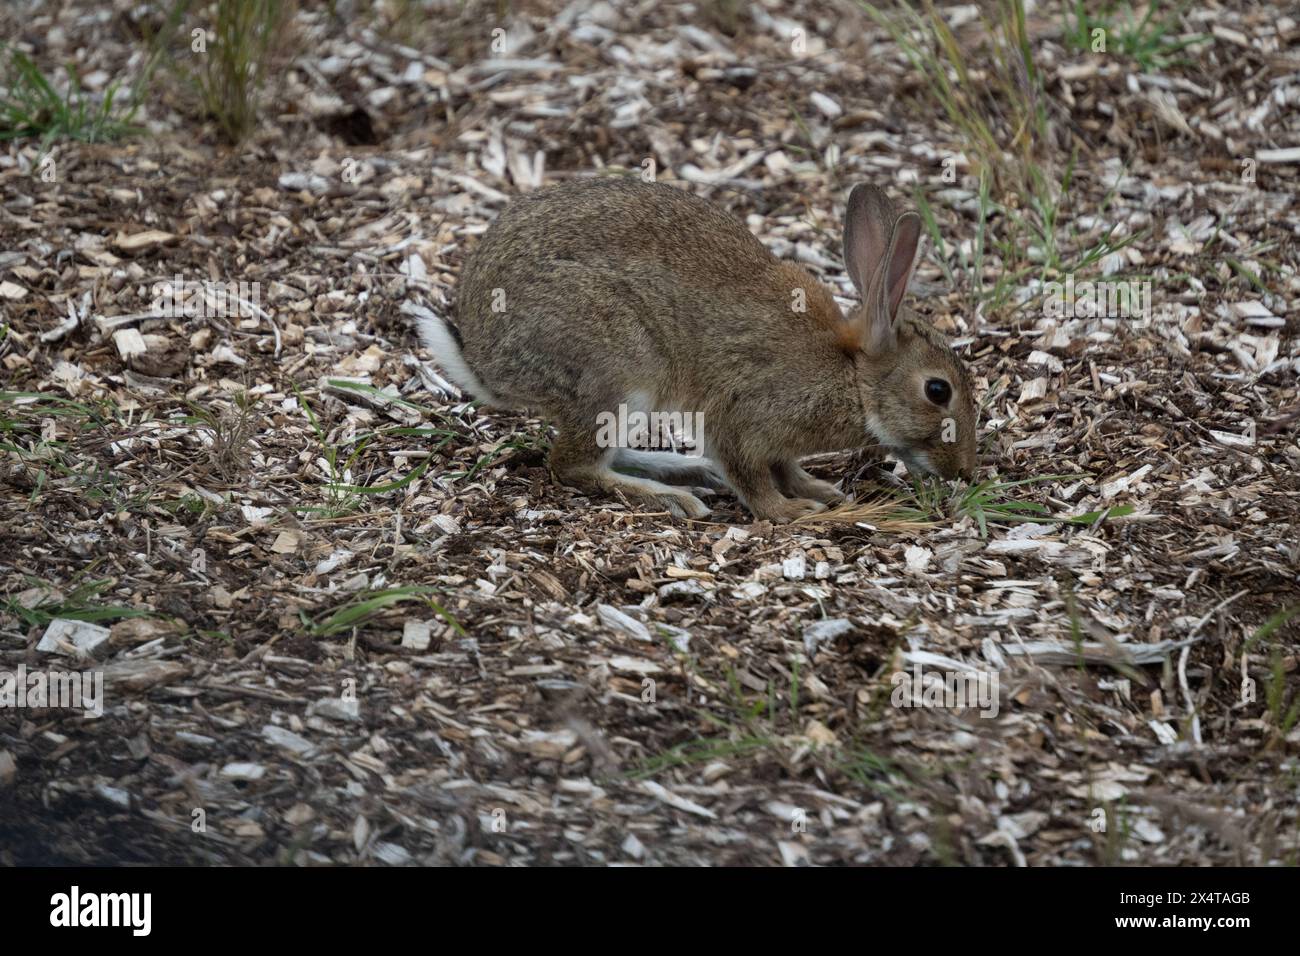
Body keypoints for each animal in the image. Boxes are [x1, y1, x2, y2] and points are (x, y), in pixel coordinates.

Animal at [416, 178, 977, 522]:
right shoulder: (742, 414)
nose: (965, 470)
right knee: (573, 465)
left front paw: (817, 490)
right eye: (937, 390)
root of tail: (487, 360)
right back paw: (674, 496)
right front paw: (790, 511)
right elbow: (751, 474)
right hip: (619, 373)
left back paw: (687, 470)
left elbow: (784, 466)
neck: (853, 375)